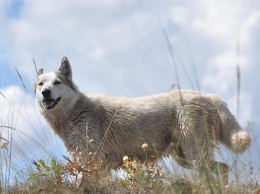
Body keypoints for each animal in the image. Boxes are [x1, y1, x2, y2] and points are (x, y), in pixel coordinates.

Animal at [34, 56, 250, 183]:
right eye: (41, 84)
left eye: (57, 83)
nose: (45, 93)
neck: (74, 112)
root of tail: (209, 96)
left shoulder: (92, 162)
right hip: (186, 158)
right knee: (223, 169)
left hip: (194, 156)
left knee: (211, 177)